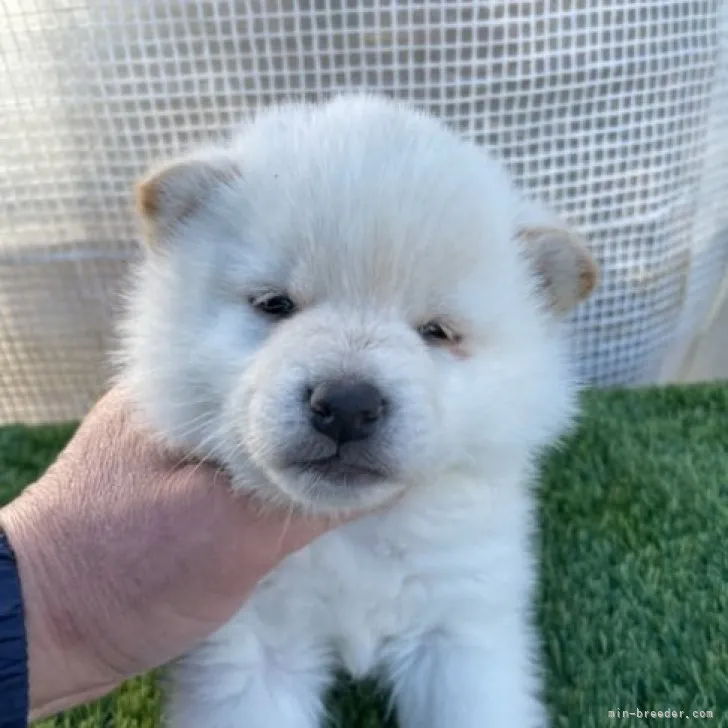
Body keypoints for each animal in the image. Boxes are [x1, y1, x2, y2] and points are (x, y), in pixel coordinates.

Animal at [119, 94, 596, 724]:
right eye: (275, 304)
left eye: (437, 332)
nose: (346, 405)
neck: (350, 533)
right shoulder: (249, 648)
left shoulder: (460, 625)